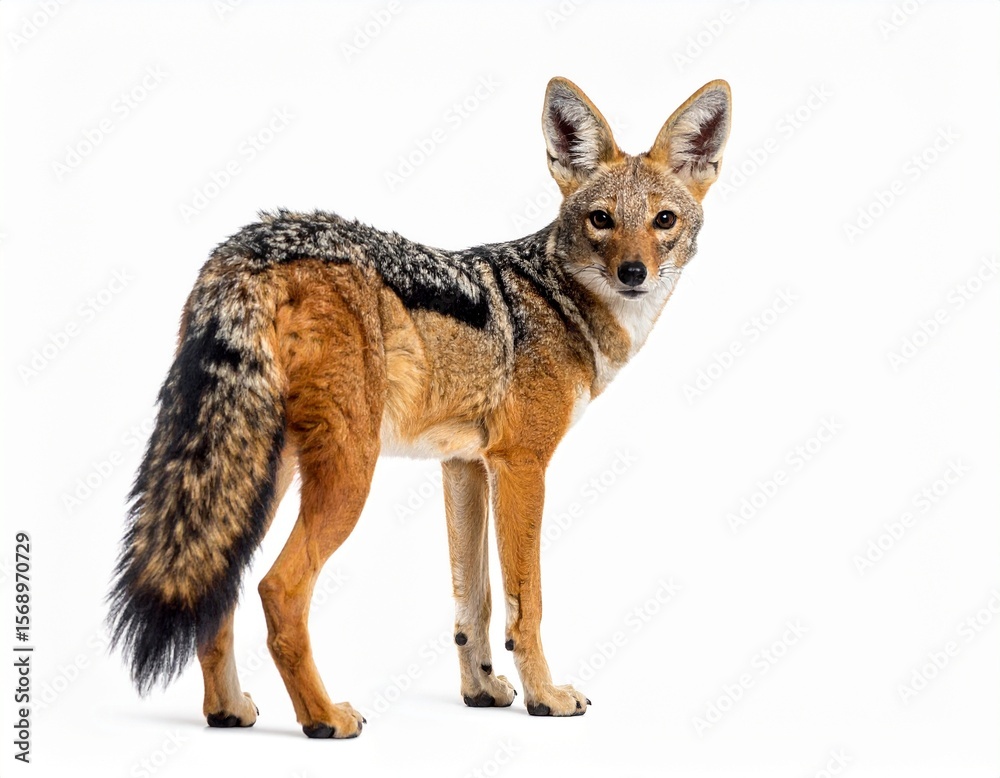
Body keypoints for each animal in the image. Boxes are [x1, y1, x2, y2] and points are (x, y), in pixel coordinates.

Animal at [108, 76, 731, 738]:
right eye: (601, 220)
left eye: (663, 221)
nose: (634, 272)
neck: (562, 304)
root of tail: (248, 248)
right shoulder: (522, 465)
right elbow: (525, 601)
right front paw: (545, 697)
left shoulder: (464, 467)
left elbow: (473, 602)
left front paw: (481, 690)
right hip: (346, 476)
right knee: (279, 590)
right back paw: (323, 717)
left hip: (259, 473)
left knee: (220, 591)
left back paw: (227, 710)